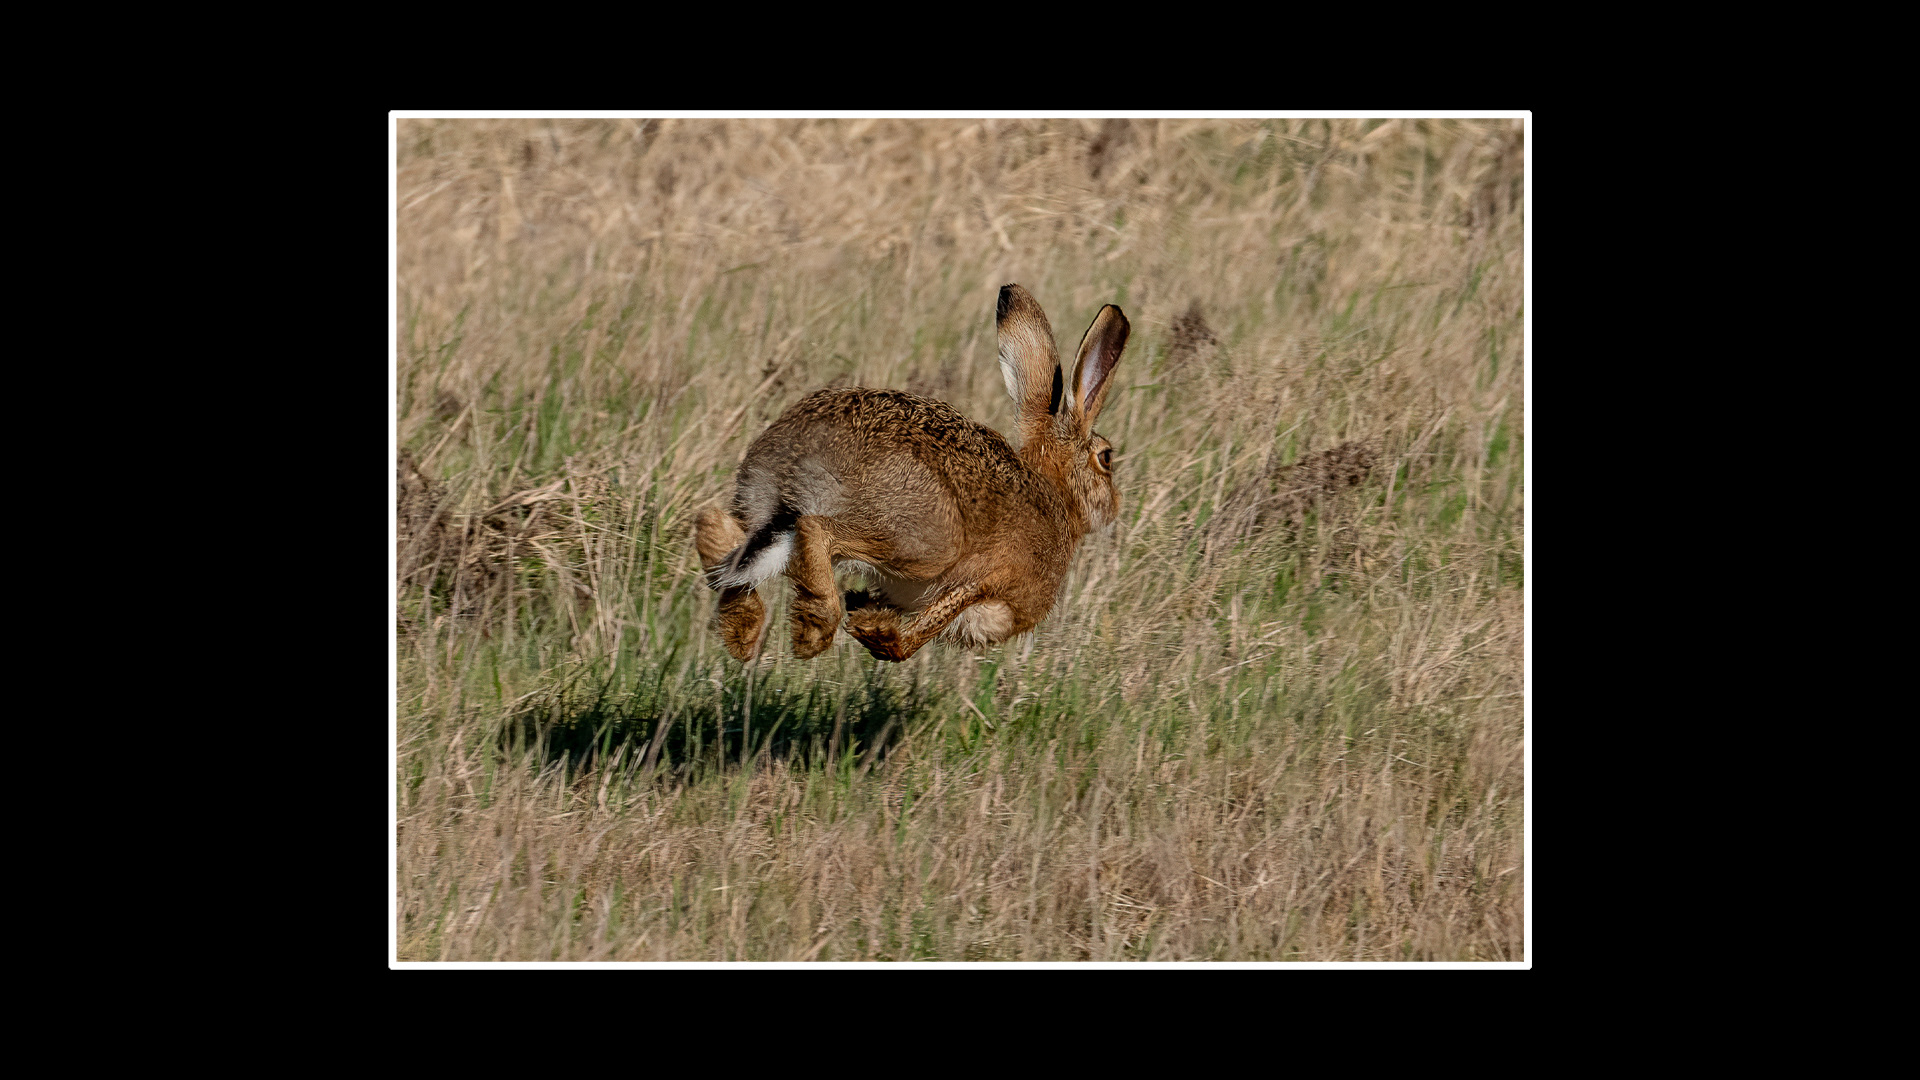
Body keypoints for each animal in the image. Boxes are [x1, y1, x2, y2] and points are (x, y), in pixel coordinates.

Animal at [694, 284, 1129, 663]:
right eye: (1106, 458)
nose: (1115, 505)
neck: (1056, 493)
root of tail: (800, 452)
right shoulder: (987, 579)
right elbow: (914, 639)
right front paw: (873, 631)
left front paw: (864, 612)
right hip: (924, 540)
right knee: (816, 530)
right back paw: (813, 630)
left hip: (761, 506)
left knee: (720, 535)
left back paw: (743, 631)